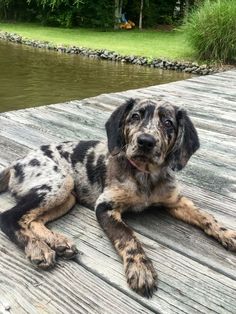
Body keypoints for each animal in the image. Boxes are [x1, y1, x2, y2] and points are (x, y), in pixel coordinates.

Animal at [0, 97, 236, 296]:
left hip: (67, 196)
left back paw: (58, 242)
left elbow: (206, 216)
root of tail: (16, 163)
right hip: (60, 183)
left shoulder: (176, 201)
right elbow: (127, 237)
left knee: (32, 219)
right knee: (10, 217)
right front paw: (140, 268)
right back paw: (37, 248)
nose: (145, 141)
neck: (145, 175)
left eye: (168, 123)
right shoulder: (106, 206)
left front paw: (228, 234)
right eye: (135, 116)